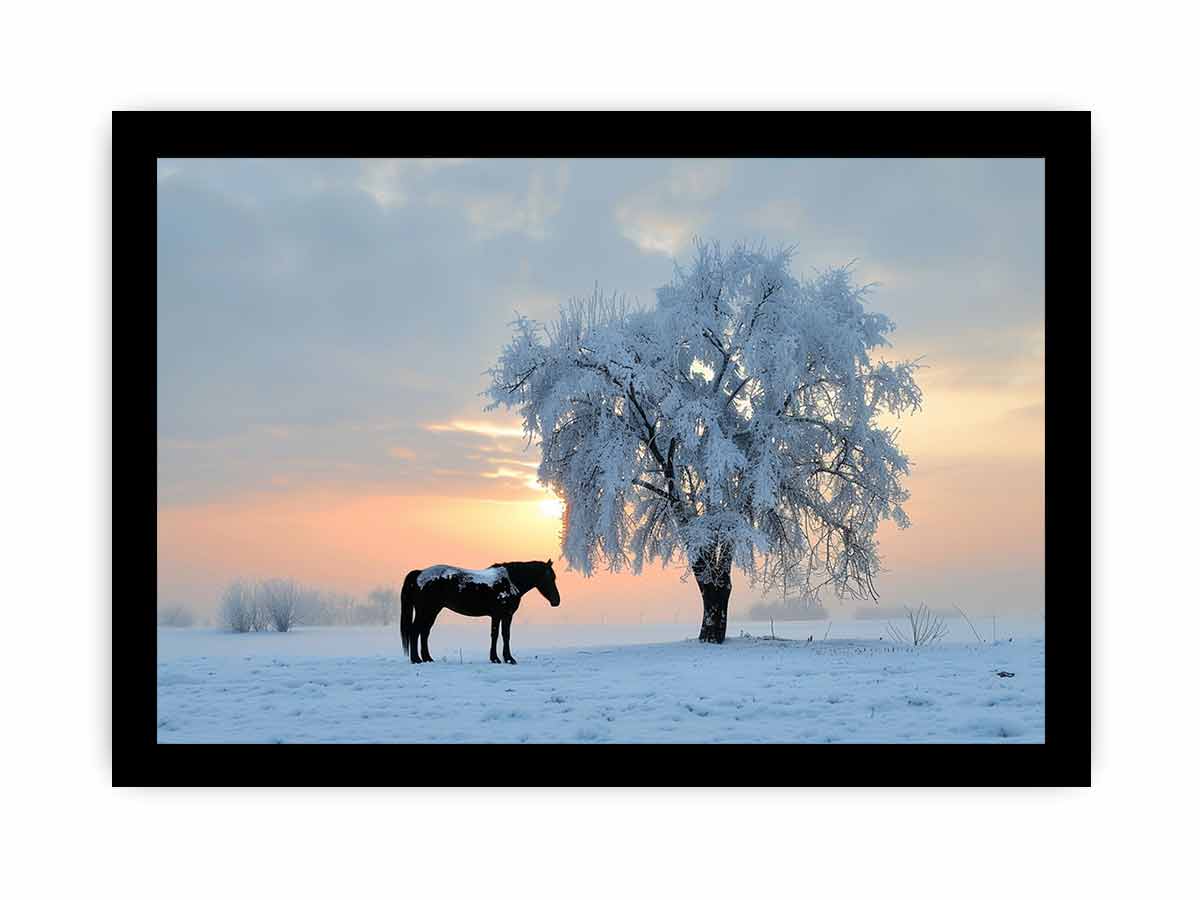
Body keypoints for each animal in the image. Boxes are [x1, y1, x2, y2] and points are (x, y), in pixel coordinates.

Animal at [399, 559, 560, 665]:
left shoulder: (503, 616)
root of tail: (420, 573)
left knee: (424, 632)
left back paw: (427, 658)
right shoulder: (501, 615)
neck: (509, 581)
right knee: (415, 631)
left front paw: (503, 658)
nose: (556, 601)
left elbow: (502, 635)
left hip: (432, 612)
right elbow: (498, 635)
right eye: (550, 577)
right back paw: (416, 659)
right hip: (426, 611)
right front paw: (501, 659)